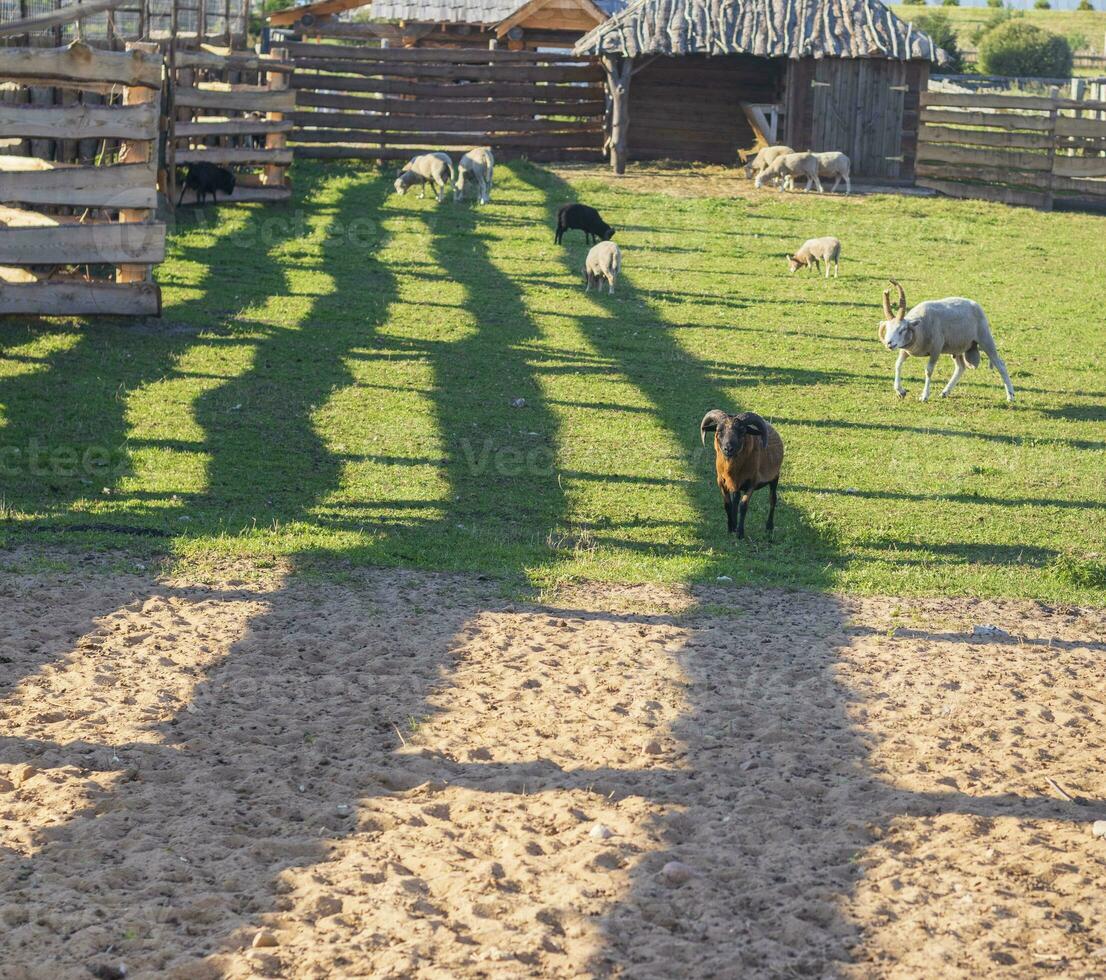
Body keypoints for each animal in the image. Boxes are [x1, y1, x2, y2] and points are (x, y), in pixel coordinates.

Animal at [703, 411, 783, 541]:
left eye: (742, 431)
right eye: (719, 430)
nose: (728, 448)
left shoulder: (751, 483)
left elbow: (743, 506)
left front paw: (740, 533)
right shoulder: (721, 481)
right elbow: (728, 504)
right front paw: (731, 528)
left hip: (775, 477)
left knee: (772, 499)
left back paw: (769, 527)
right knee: (735, 498)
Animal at [875, 279, 1013, 402]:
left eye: (903, 329)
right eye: (887, 328)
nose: (889, 344)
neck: (920, 327)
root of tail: (974, 304)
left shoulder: (936, 349)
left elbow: (928, 371)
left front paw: (924, 396)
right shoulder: (905, 350)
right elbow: (898, 364)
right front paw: (900, 391)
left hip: (985, 338)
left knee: (1000, 364)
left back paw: (1010, 396)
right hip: (958, 348)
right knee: (960, 367)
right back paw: (945, 392)